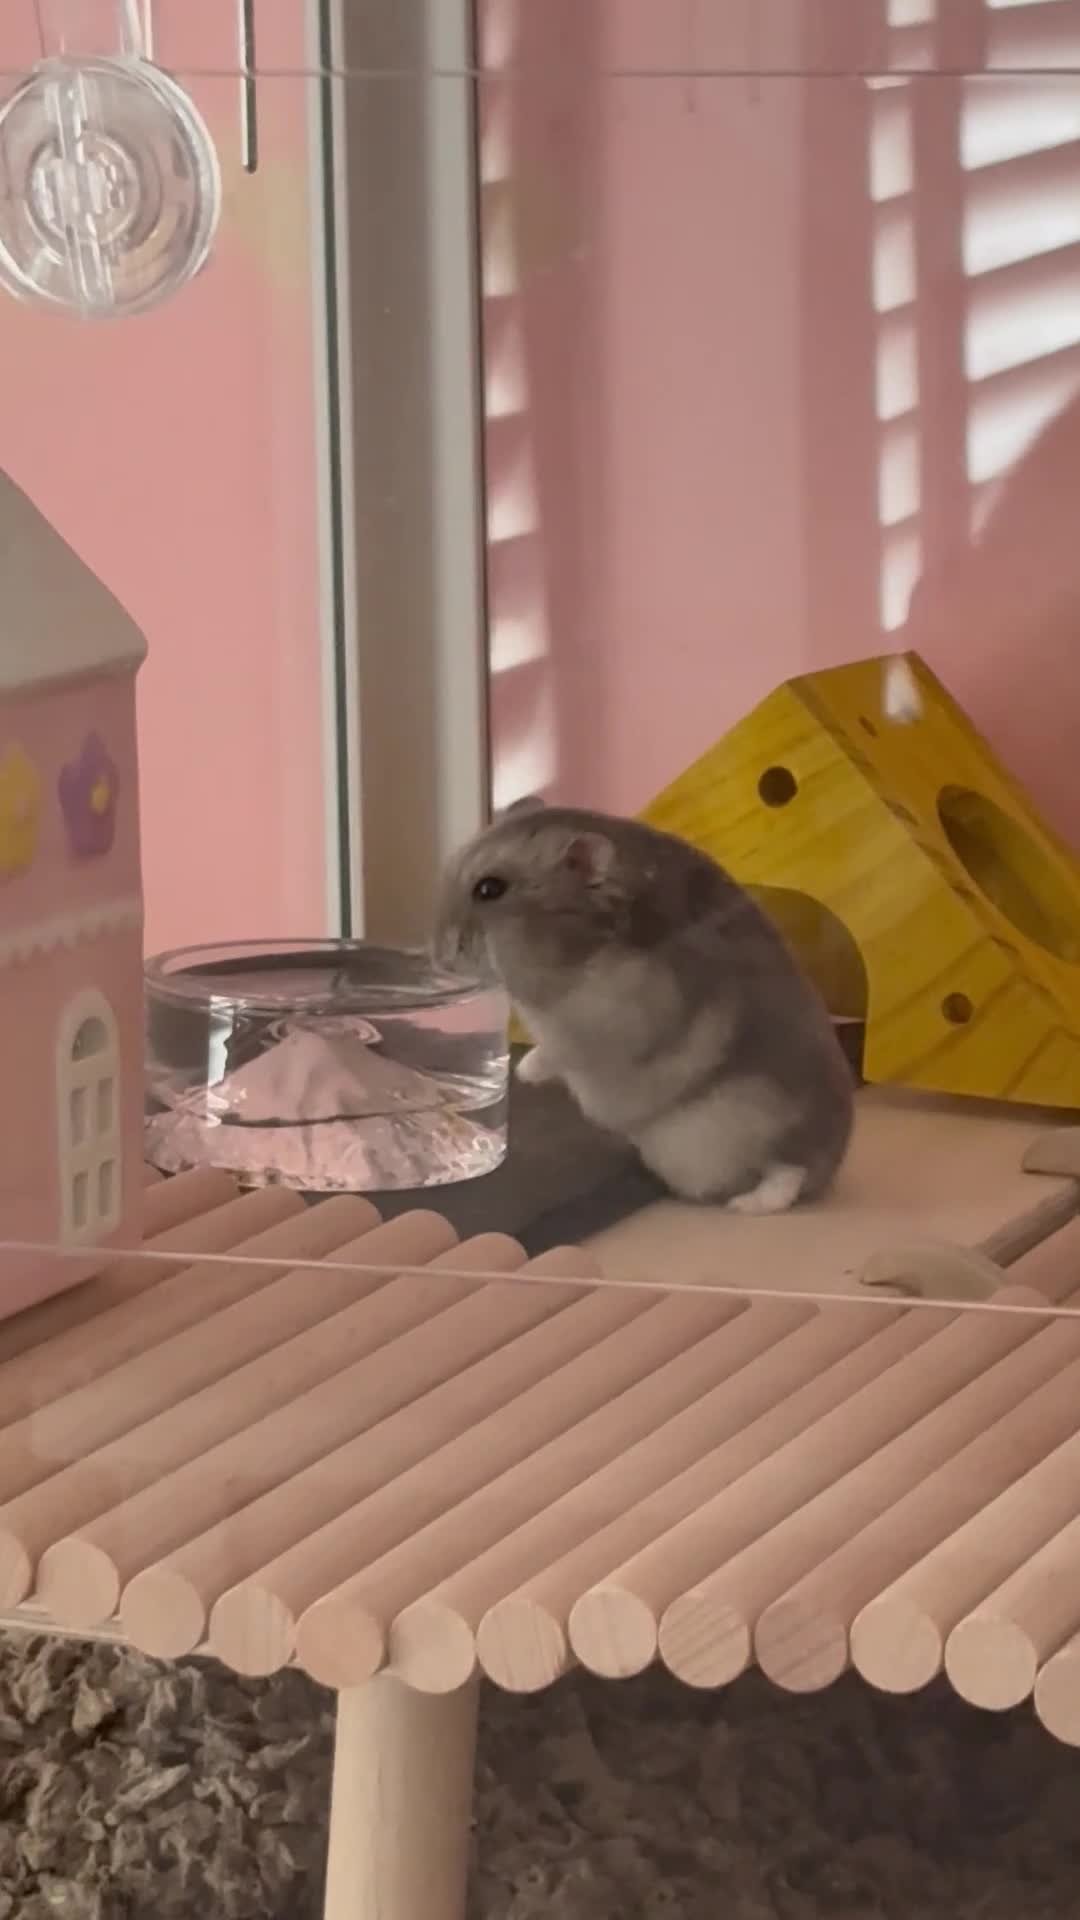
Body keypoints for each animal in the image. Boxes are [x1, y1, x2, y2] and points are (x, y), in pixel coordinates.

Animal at [434, 801, 854, 1213]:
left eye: (489, 889)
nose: (438, 956)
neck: (581, 947)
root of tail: (831, 1163)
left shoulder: (607, 1023)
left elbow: (558, 1052)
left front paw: (524, 1073)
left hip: (766, 1127)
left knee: (787, 1174)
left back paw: (744, 1204)